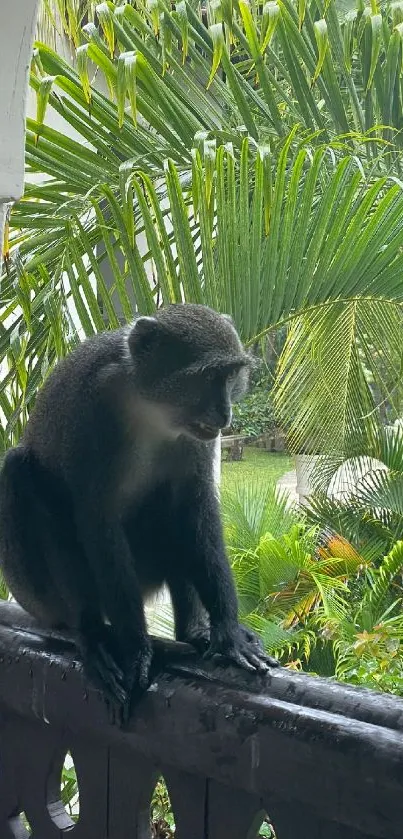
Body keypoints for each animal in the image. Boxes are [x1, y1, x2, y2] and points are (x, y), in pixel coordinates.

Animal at [0, 302, 278, 708]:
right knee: (23, 474)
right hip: (37, 592)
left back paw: (193, 633)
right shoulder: (93, 409)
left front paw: (227, 633)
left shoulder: (195, 442)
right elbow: (97, 521)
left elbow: (196, 509)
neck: (149, 406)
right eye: (209, 376)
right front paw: (136, 650)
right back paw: (93, 635)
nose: (225, 414)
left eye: (229, 376)